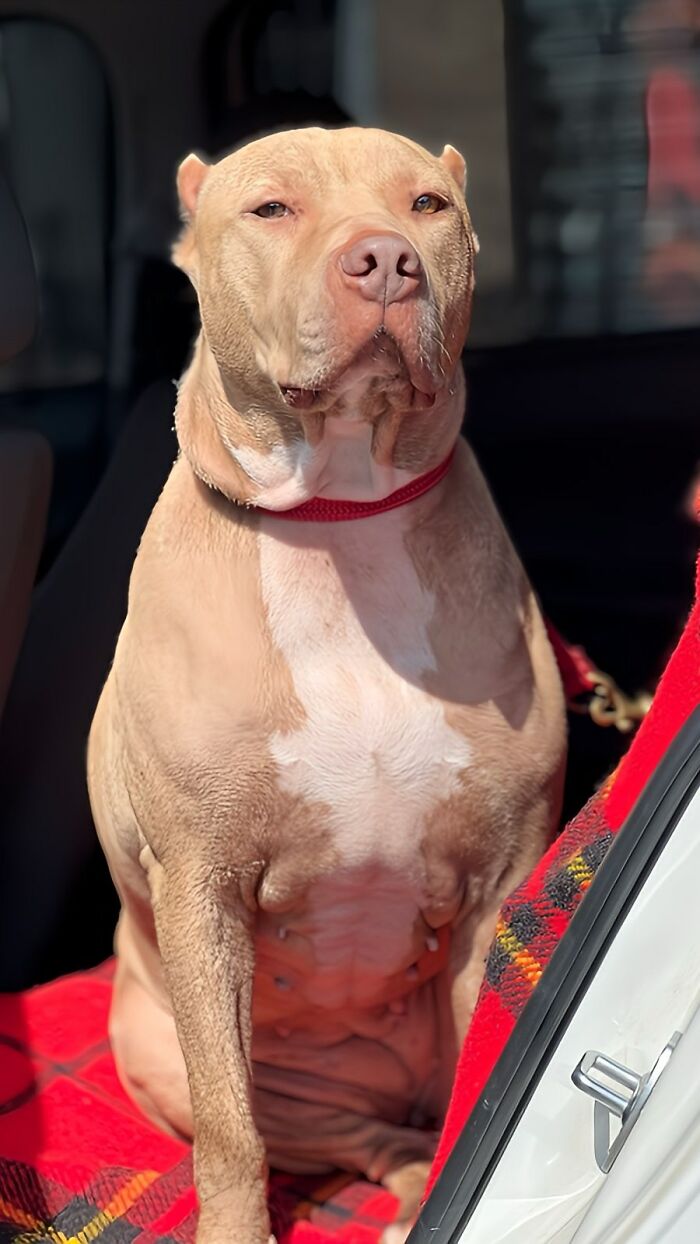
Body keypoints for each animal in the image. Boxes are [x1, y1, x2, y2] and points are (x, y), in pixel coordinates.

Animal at [87, 128, 569, 1244]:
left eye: (429, 205)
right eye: (272, 208)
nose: (384, 261)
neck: (342, 518)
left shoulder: (502, 875)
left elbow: (483, 1070)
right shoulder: (202, 883)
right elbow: (232, 1135)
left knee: (418, 1121)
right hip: (179, 1048)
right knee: (325, 1129)